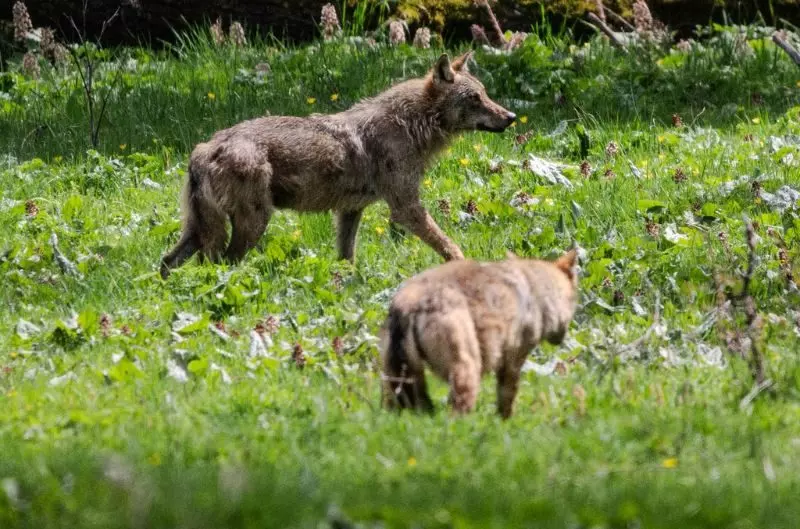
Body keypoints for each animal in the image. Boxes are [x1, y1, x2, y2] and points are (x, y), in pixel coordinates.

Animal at [159, 51, 515, 278]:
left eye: (485, 94)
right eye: (475, 99)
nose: (511, 117)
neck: (411, 123)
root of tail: (204, 148)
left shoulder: (350, 211)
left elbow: (347, 258)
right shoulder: (405, 208)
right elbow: (450, 246)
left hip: (201, 230)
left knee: (167, 262)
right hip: (252, 224)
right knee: (223, 265)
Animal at [379, 249, 580, 419]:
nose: (561, 339)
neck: (537, 290)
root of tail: (407, 305)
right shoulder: (513, 360)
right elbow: (508, 397)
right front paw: (506, 423)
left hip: (396, 381)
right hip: (467, 369)